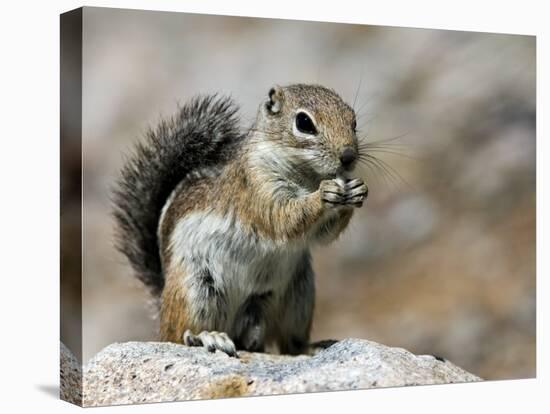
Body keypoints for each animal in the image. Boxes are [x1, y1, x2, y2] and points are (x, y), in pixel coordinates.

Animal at [113, 83, 368, 356]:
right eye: (304, 123)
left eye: (353, 121)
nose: (348, 156)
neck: (307, 176)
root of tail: (162, 302)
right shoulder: (256, 186)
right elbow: (283, 218)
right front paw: (323, 195)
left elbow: (323, 234)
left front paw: (357, 190)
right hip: (196, 289)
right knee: (178, 334)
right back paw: (208, 336)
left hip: (298, 296)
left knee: (287, 343)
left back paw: (308, 347)